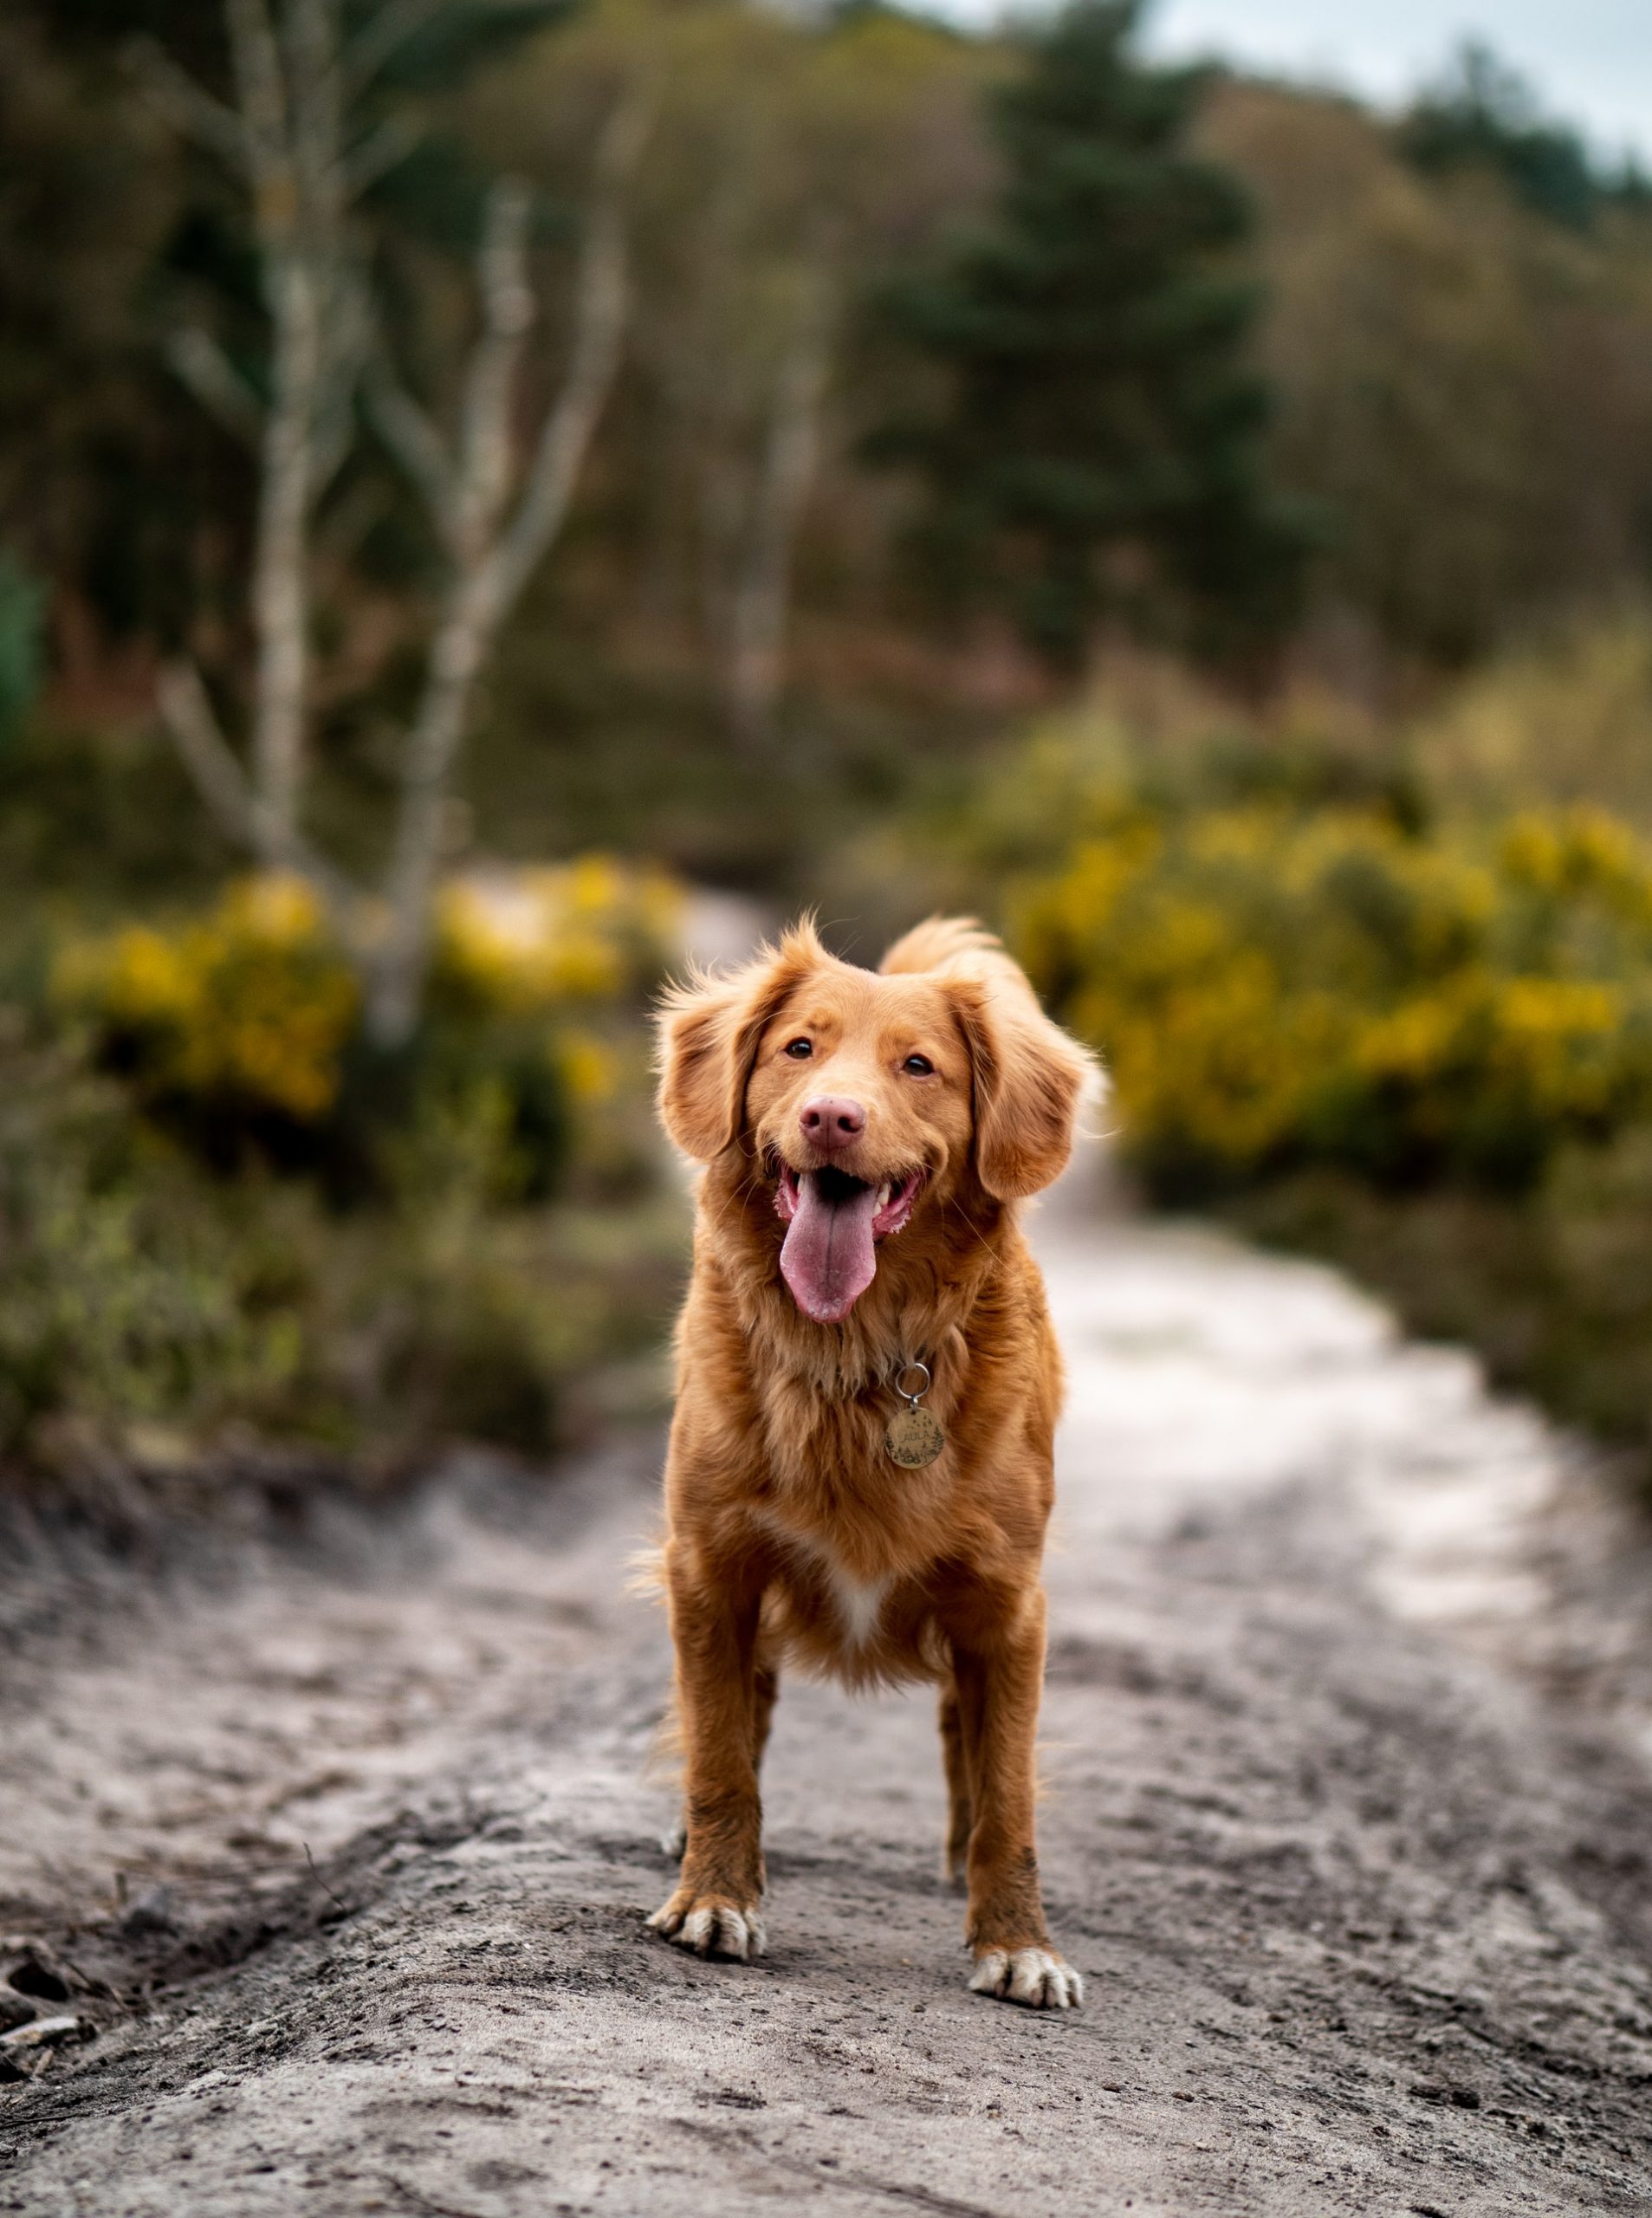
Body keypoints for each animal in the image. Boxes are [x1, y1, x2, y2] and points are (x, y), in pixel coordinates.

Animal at [643, 913, 1095, 2014]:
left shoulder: (1007, 1604)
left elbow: (1008, 1795)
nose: (831, 1117)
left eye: (918, 1066)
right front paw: (715, 1898)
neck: (858, 1354)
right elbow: (720, 1753)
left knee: (965, 1747)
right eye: (797, 1049)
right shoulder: (709, 1565)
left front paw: (1018, 1945)